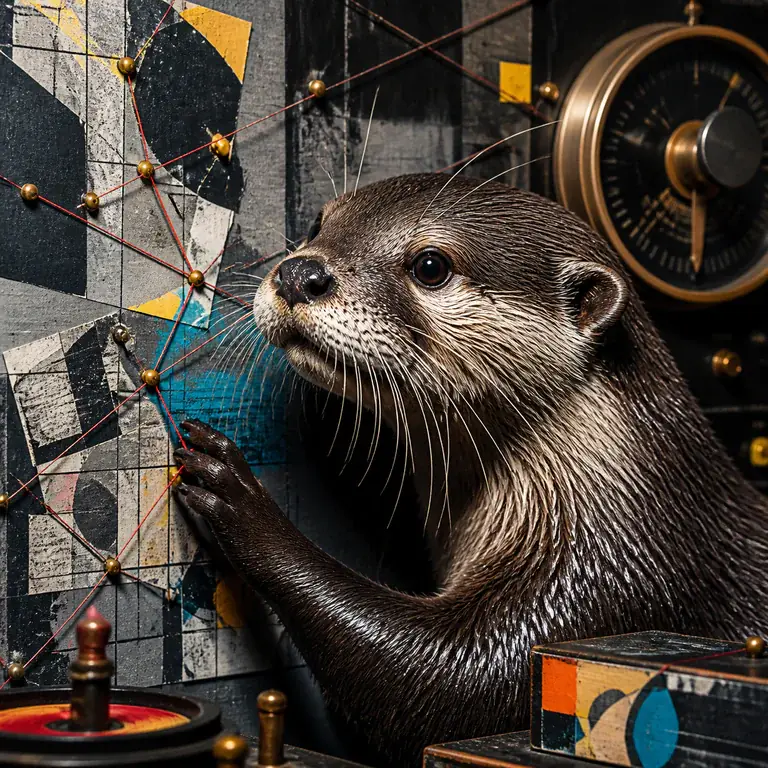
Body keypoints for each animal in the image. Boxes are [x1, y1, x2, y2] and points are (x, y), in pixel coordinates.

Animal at [172, 174, 768, 766]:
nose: (300, 272)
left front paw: (241, 498)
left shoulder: (612, 579)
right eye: (319, 225)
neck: (614, 487)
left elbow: (450, 680)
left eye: (430, 265)